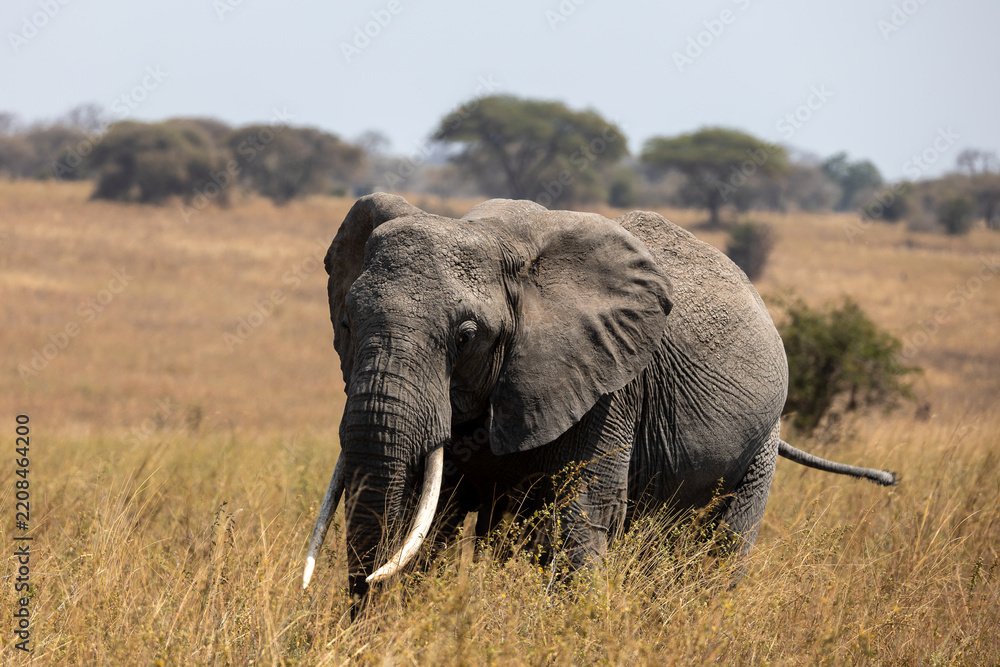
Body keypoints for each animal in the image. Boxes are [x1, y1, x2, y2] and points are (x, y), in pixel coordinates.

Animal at [301, 193, 896, 601]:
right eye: (347, 323)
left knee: (722, 546)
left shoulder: (609, 383)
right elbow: (431, 516)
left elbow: (583, 513)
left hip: (764, 438)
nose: (362, 602)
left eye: (466, 336)